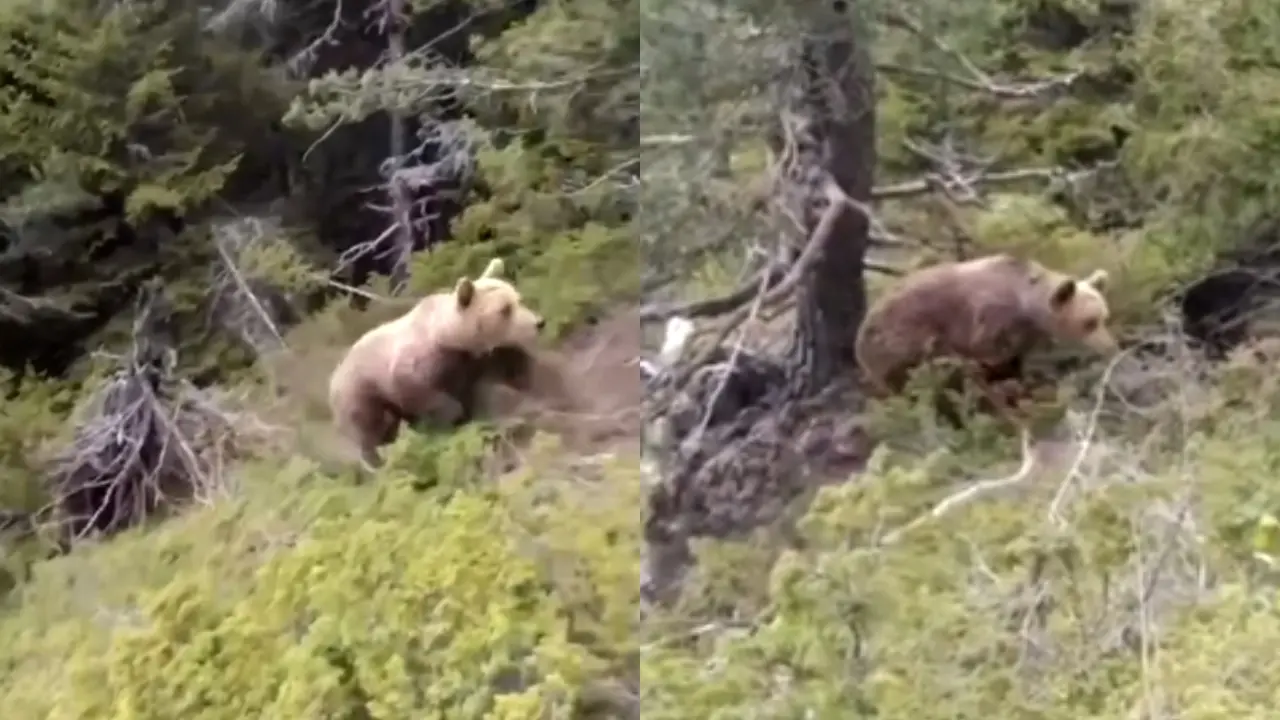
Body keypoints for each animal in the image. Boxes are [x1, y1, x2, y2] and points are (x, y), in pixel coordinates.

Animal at [327, 257, 547, 470]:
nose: (539, 322)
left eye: (519, 299)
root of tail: (334, 375)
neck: (453, 340)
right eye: (505, 309)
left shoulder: (470, 364)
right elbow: (423, 394)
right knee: (373, 430)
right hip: (361, 394)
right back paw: (378, 460)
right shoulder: (418, 366)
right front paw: (451, 417)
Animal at [855, 253, 1117, 429]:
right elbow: (986, 362)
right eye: (1089, 322)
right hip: (906, 344)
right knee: (942, 379)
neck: (1026, 308)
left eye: (1105, 317)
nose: (1111, 346)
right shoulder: (988, 322)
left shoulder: (1020, 337)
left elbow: (1012, 366)